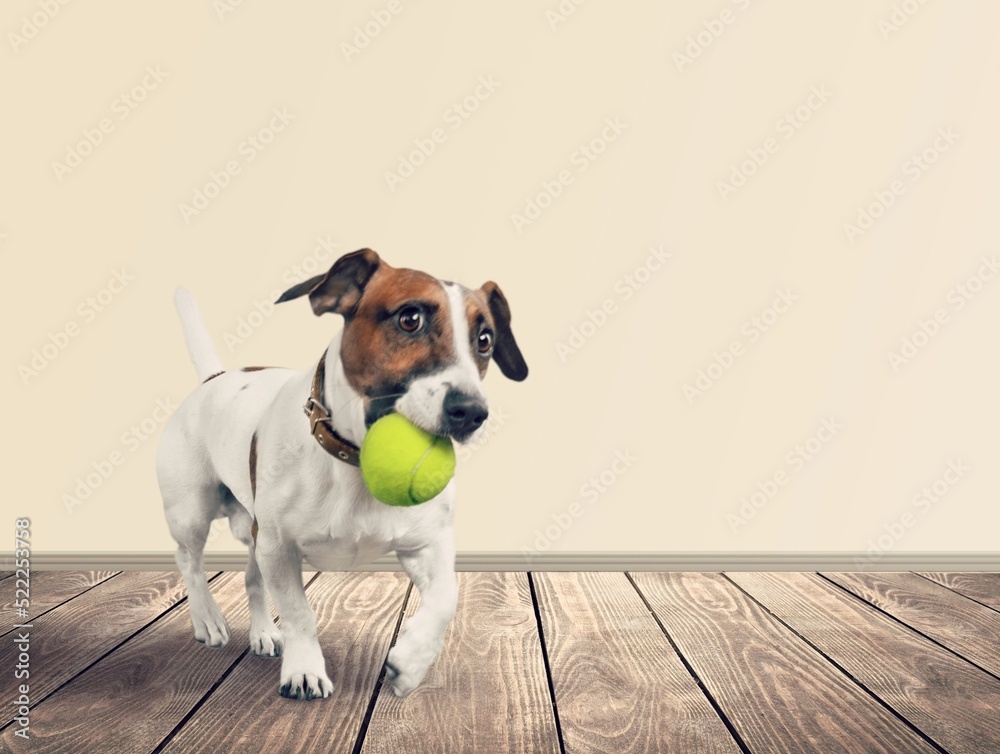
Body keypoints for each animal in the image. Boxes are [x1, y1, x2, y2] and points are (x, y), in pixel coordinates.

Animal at [155, 250, 528, 696]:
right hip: (193, 511)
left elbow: (446, 598)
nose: (472, 412)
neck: (355, 464)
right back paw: (208, 619)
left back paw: (262, 633)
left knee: (250, 578)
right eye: (410, 319)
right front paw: (304, 670)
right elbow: (299, 613)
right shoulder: (279, 547)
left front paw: (411, 660)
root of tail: (215, 379)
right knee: (189, 560)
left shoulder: (428, 543)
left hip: (252, 530)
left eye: (485, 340)